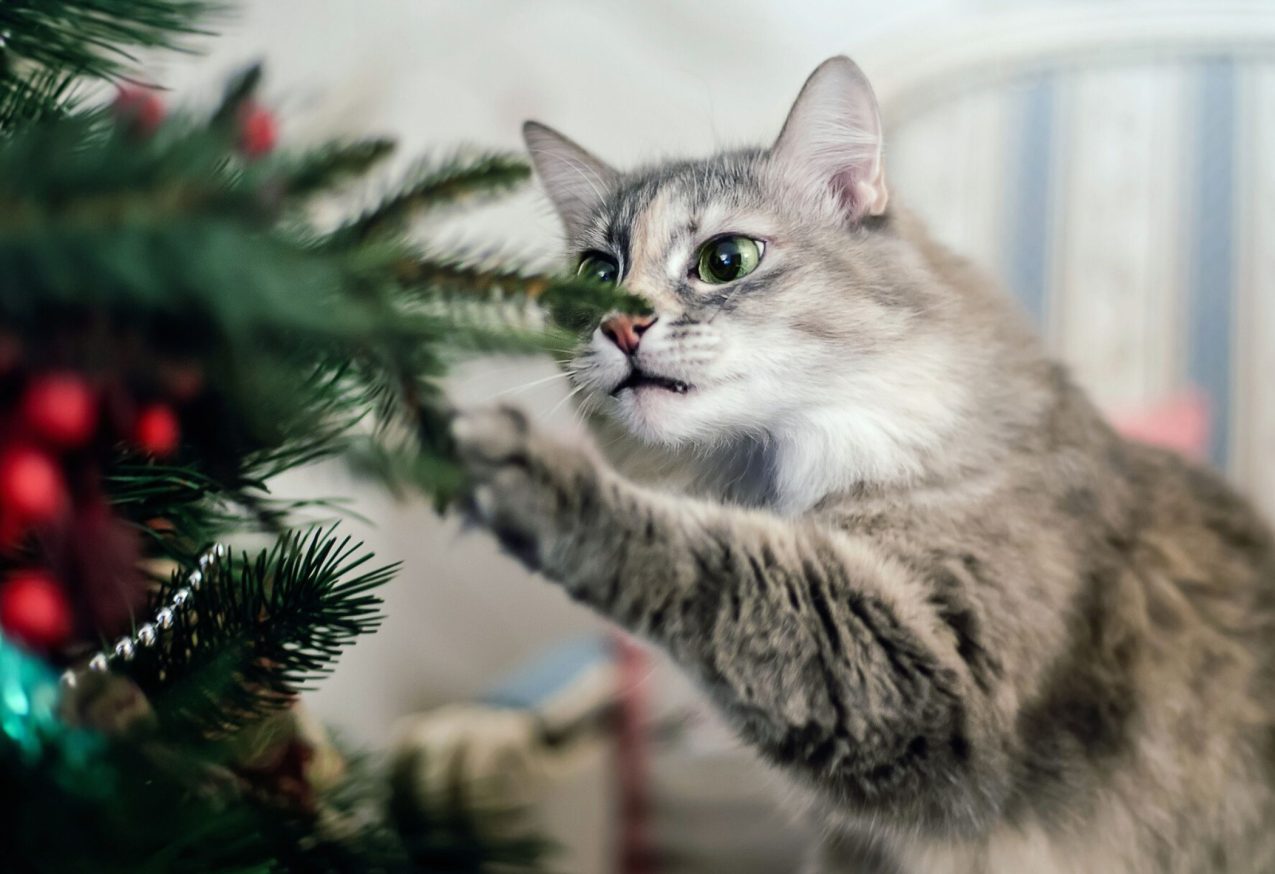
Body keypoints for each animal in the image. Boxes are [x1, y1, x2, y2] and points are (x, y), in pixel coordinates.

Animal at [453, 56, 1275, 872]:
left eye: (725, 261)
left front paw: (511, 465)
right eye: (596, 274)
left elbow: (706, 560)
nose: (620, 326)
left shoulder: (938, 682)